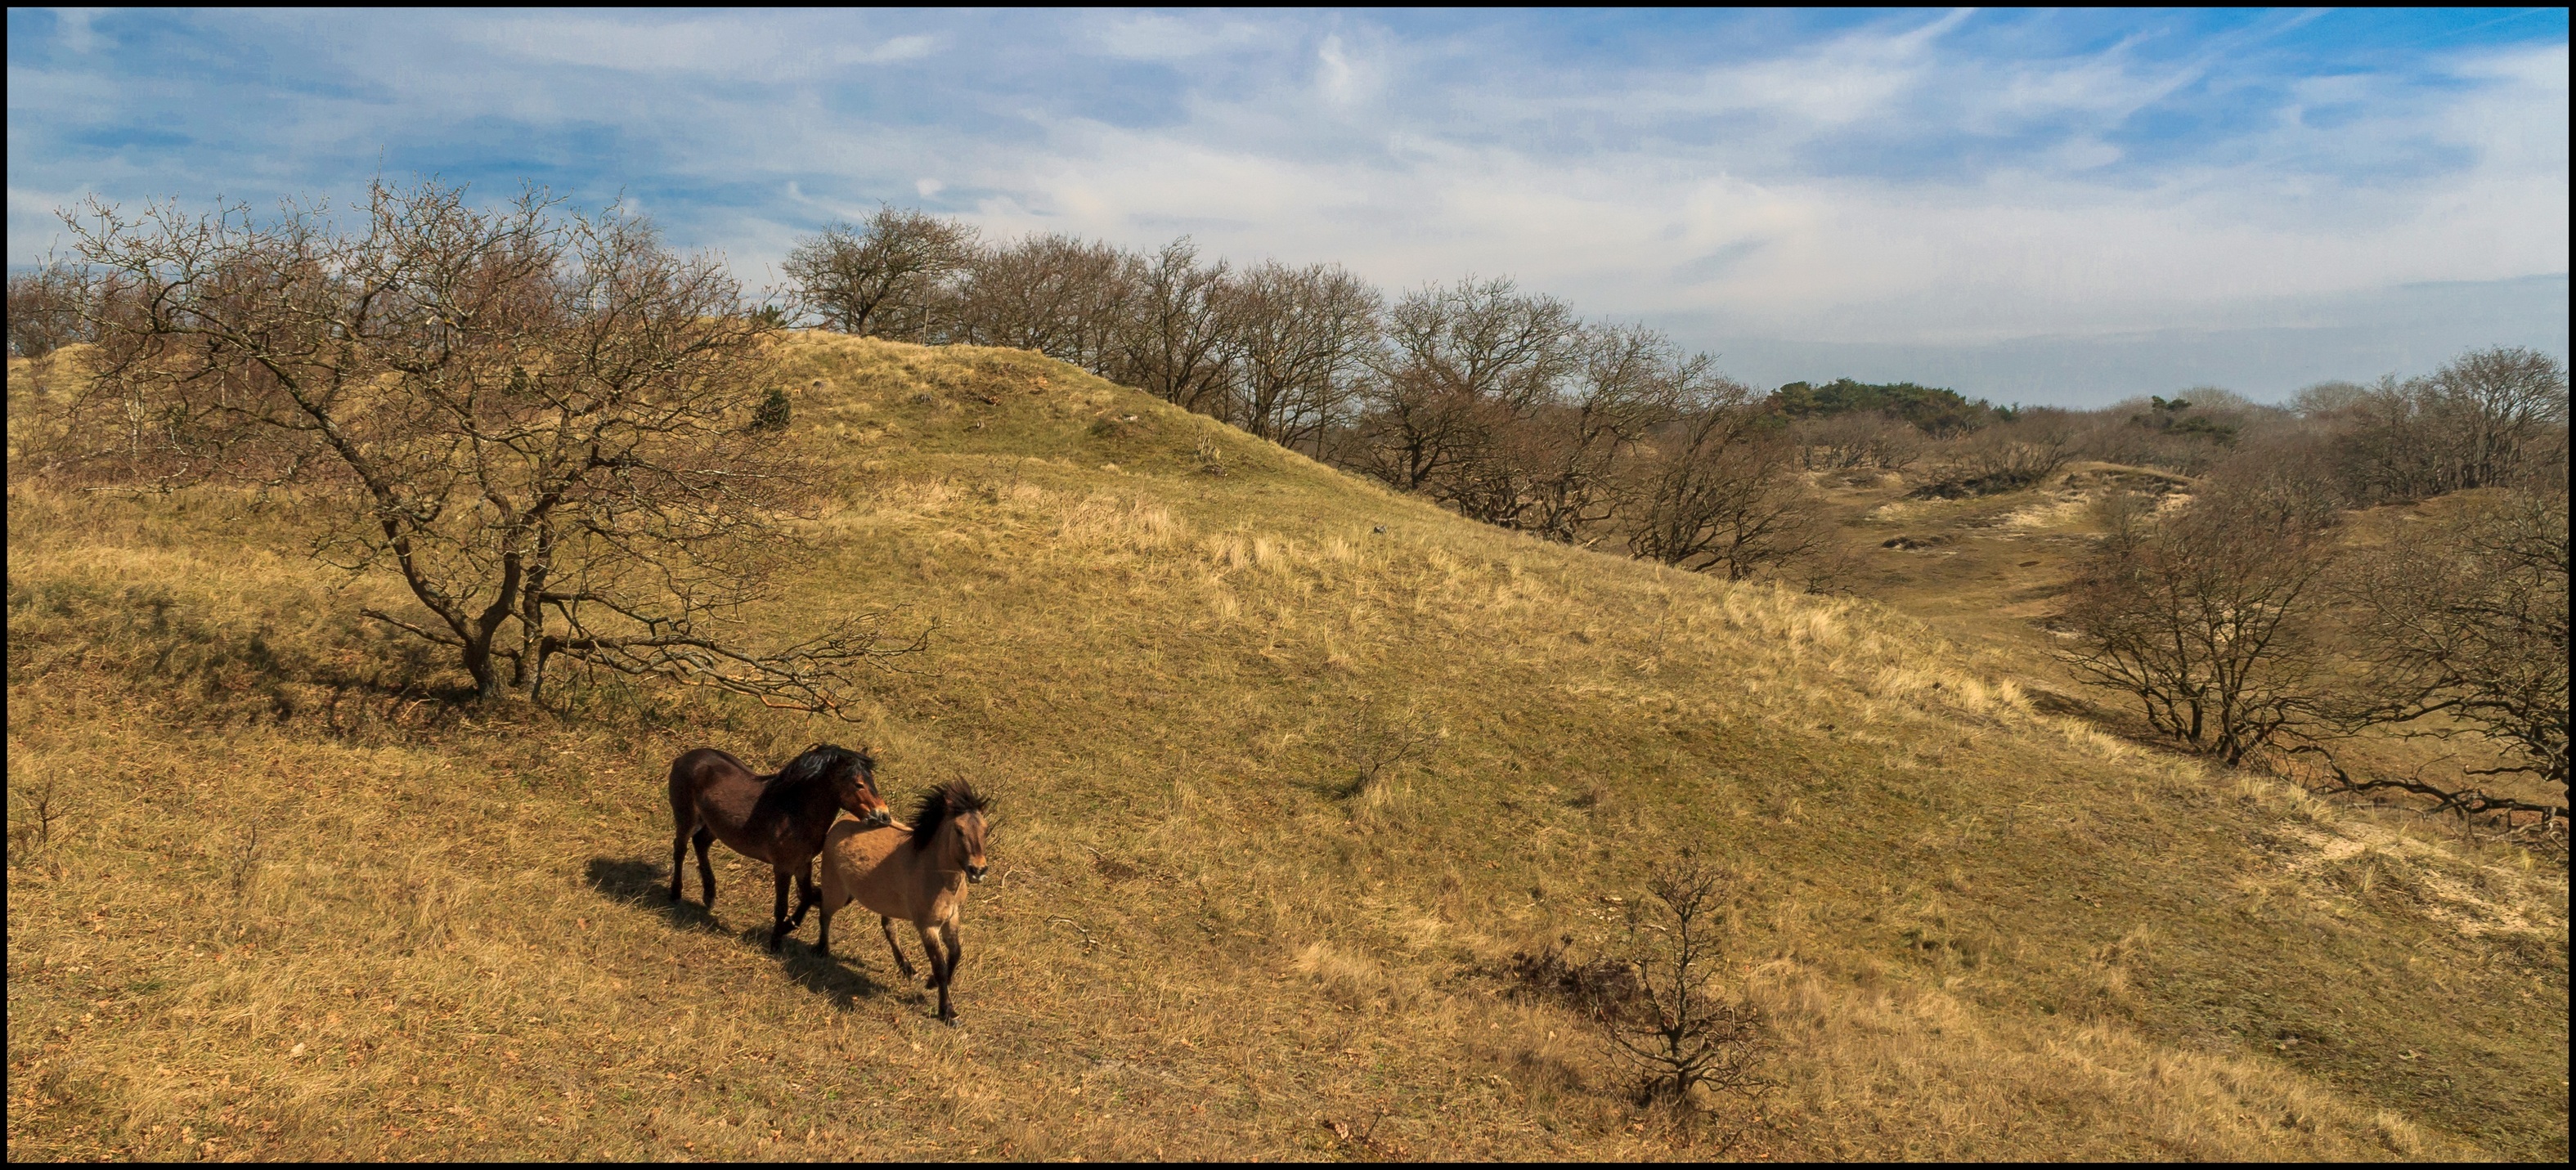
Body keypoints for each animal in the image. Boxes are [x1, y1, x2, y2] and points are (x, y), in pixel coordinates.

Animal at [666, 744, 894, 952]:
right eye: (859, 784)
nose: (883, 816)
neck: (793, 814)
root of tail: (686, 757)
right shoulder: (783, 868)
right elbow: (782, 905)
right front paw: (775, 941)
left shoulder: (803, 864)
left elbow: (808, 896)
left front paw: (787, 927)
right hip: (687, 819)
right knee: (680, 849)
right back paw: (676, 893)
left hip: (713, 826)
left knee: (700, 844)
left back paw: (709, 895)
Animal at [816, 780, 991, 1025]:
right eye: (959, 830)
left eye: (986, 829)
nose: (978, 870)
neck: (934, 872)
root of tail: (840, 822)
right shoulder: (927, 926)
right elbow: (939, 964)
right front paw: (948, 1012)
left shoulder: (951, 918)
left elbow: (955, 954)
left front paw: (930, 983)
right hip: (838, 893)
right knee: (825, 913)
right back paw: (822, 950)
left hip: (884, 901)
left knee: (889, 927)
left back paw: (908, 968)